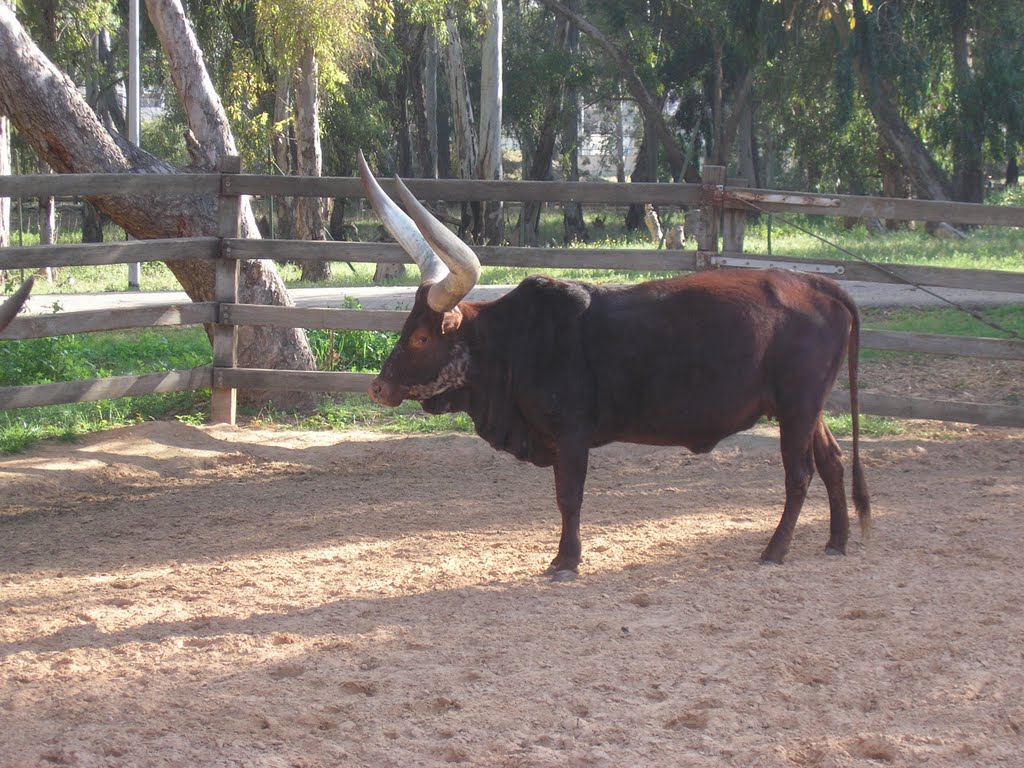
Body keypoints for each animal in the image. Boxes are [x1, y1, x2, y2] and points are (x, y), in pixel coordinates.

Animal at [356, 153, 868, 581]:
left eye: (422, 337)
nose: (378, 388)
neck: (516, 343)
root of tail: (819, 285)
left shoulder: (571, 433)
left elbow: (569, 497)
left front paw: (565, 561)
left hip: (798, 407)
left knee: (799, 474)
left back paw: (775, 550)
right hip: (807, 409)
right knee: (832, 461)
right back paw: (837, 541)